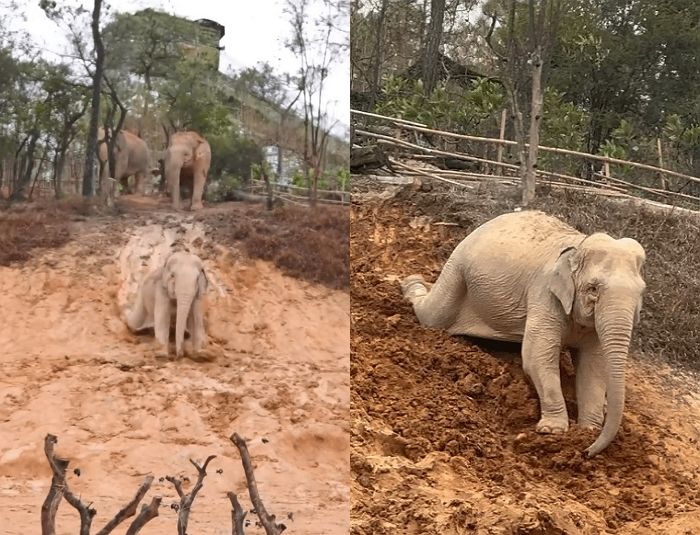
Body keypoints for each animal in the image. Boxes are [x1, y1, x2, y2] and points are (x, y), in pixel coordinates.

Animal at [402, 209, 648, 456]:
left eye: (641, 292)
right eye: (593, 289)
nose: (587, 452)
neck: (578, 245)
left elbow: (593, 367)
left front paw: (587, 431)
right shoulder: (544, 293)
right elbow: (536, 357)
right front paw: (553, 431)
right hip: (457, 270)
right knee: (432, 315)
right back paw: (410, 283)